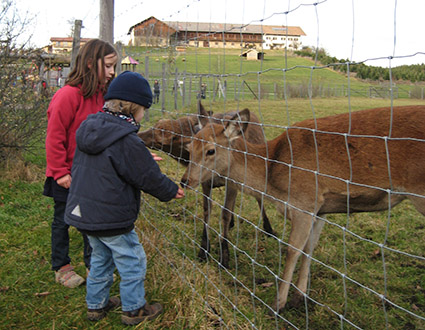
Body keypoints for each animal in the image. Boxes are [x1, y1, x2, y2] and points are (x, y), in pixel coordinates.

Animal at [137, 102, 274, 268]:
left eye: (165, 135)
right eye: (190, 148)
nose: (139, 135)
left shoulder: (233, 181)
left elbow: (225, 213)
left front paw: (224, 257)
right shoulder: (205, 183)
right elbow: (207, 211)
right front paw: (203, 251)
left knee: (259, 197)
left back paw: (268, 229)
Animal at [179, 105, 424, 312]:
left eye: (211, 150)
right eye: (189, 146)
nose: (184, 181)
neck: (273, 177)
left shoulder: (304, 202)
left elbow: (292, 251)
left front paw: (278, 304)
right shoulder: (320, 209)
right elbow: (309, 249)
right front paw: (300, 297)